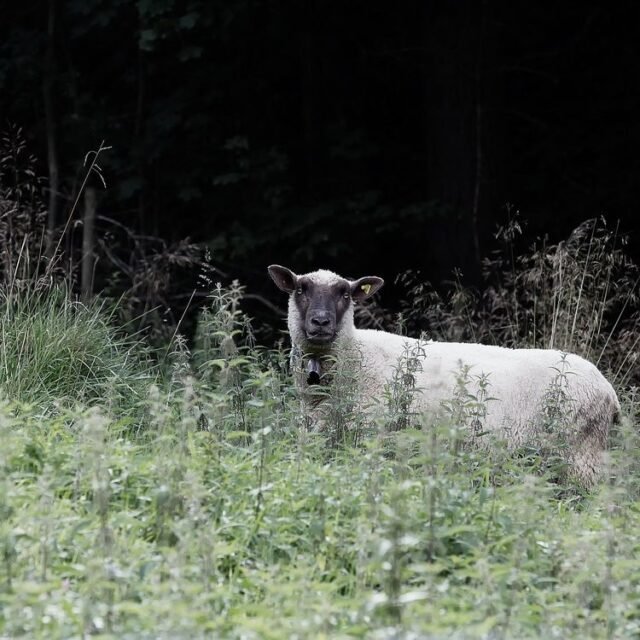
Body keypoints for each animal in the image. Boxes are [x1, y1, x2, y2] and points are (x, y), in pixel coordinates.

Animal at [268, 264, 620, 487]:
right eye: (300, 289)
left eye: (345, 294)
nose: (321, 322)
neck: (357, 355)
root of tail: (608, 390)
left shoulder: (370, 437)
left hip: (581, 454)